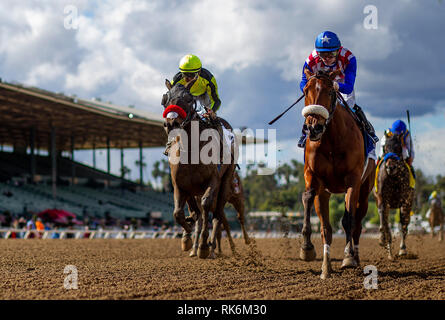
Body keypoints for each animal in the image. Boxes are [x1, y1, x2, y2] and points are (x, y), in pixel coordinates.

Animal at [161, 78, 248, 260]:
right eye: (164, 99)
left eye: (188, 99)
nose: (171, 123)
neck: (191, 150)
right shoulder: (180, 185)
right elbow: (178, 213)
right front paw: (187, 237)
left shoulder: (213, 180)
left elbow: (206, 206)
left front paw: (203, 246)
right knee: (202, 215)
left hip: (227, 184)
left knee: (219, 217)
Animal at [298, 69, 374, 278]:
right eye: (305, 91)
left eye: (331, 92)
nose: (313, 127)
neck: (332, 139)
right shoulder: (313, 176)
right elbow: (308, 198)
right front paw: (307, 248)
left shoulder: (353, 180)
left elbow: (348, 219)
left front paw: (348, 257)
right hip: (325, 193)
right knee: (327, 228)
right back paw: (326, 266)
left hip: (365, 190)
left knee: (357, 224)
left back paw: (355, 258)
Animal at [372, 132, 414, 260]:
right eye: (385, 147)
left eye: (398, 147)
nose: (391, 167)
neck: (394, 178)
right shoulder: (382, 199)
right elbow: (384, 221)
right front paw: (386, 244)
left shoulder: (405, 201)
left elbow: (403, 225)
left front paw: (402, 249)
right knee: (384, 218)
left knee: (403, 224)